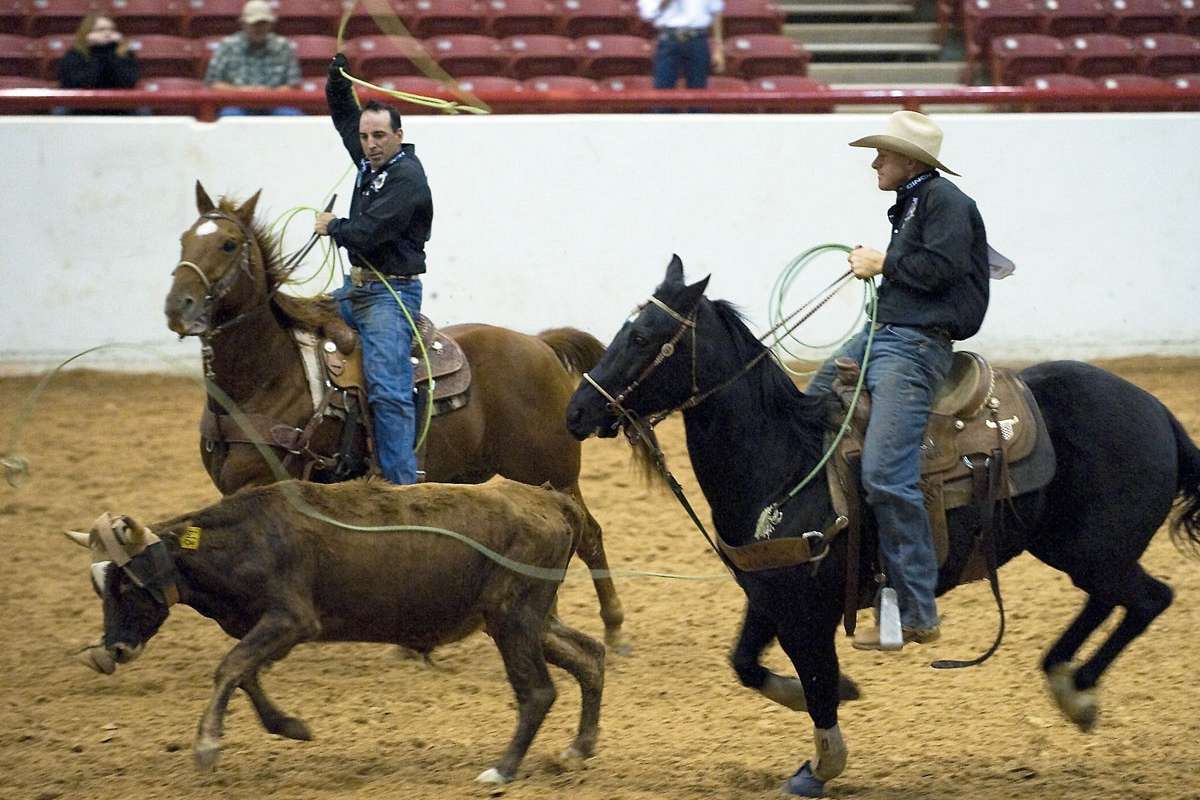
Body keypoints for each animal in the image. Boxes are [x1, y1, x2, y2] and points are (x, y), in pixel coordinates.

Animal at [164, 184, 628, 652]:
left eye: (228, 244)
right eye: (184, 239)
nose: (177, 306)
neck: (270, 374)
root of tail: (539, 343)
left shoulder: (263, 484)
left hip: (553, 472)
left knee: (589, 535)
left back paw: (613, 625)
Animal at [564, 260, 1200, 796]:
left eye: (642, 337)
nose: (576, 411)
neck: (785, 459)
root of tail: (1160, 413)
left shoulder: (806, 610)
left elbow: (818, 682)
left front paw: (822, 765)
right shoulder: (769, 593)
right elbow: (747, 665)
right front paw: (827, 698)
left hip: (1093, 549)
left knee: (1149, 598)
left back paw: (1079, 688)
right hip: (1072, 548)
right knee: (1111, 600)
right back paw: (1067, 681)